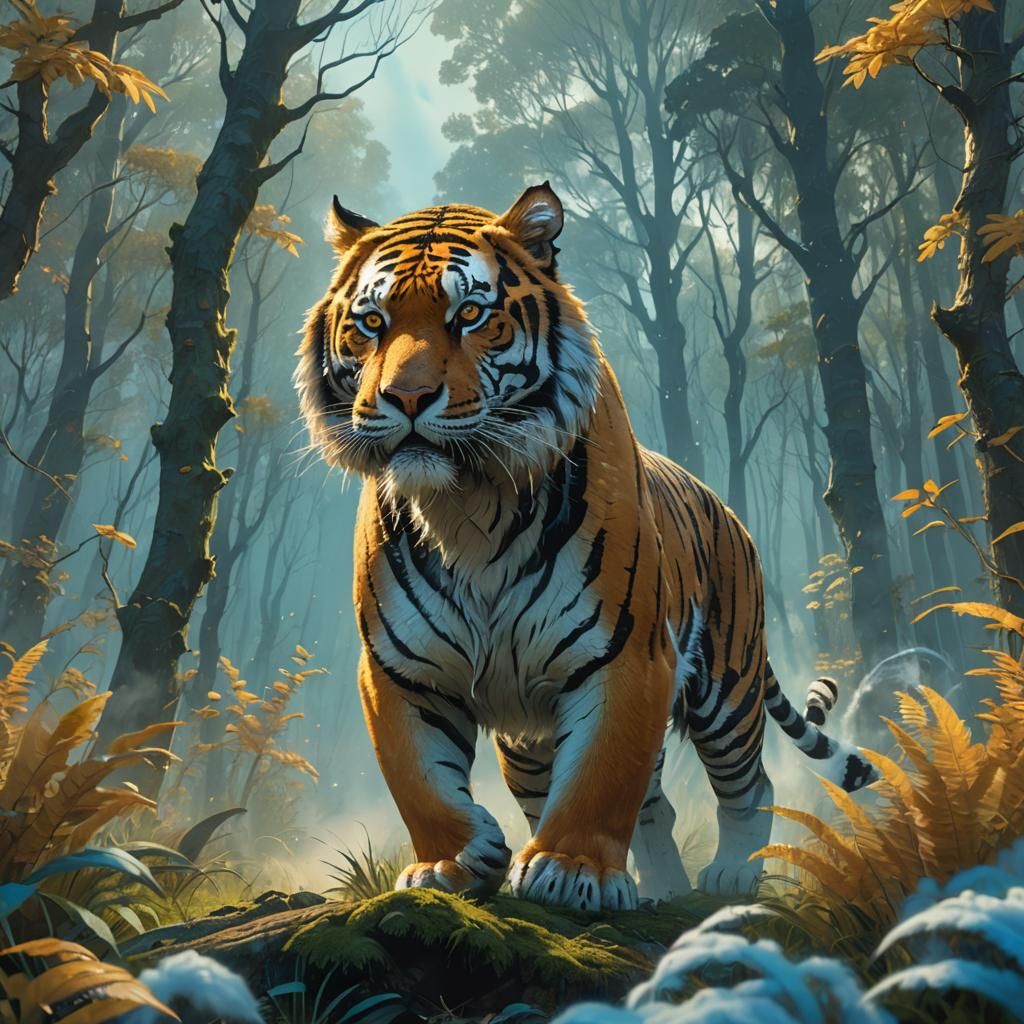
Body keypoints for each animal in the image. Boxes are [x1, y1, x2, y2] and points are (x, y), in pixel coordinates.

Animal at [295, 183, 877, 911]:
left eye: (470, 313)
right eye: (372, 322)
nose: (406, 397)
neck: (466, 504)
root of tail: (727, 510)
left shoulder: (626, 657)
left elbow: (600, 778)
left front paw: (571, 871)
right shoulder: (400, 671)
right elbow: (421, 782)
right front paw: (452, 862)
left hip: (726, 687)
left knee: (749, 784)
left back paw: (731, 876)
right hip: (530, 739)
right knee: (650, 804)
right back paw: (659, 890)